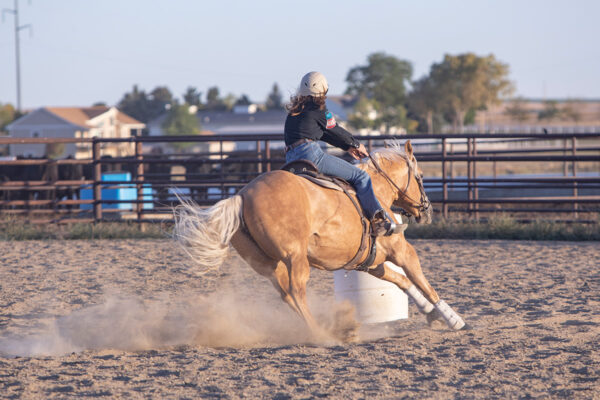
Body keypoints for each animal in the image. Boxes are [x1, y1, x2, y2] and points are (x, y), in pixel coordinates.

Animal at [175, 141, 468, 338]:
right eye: (420, 177)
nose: (427, 210)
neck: (375, 190)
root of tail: (242, 196)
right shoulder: (401, 250)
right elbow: (423, 283)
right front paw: (452, 318)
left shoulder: (373, 263)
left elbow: (403, 282)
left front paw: (430, 313)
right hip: (295, 258)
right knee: (296, 292)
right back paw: (322, 334)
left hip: (268, 265)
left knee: (286, 295)